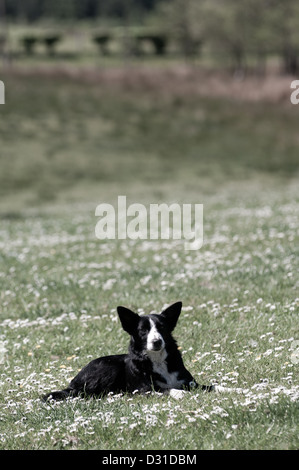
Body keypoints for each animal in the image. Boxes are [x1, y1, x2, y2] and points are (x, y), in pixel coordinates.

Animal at [42, 302, 217, 402]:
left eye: (162, 328)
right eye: (143, 331)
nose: (157, 341)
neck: (158, 360)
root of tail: (73, 382)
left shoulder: (191, 383)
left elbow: (212, 386)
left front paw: (223, 389)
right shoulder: (145, 389)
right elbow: (169, 389)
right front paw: (182, 394)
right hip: (109, 367)